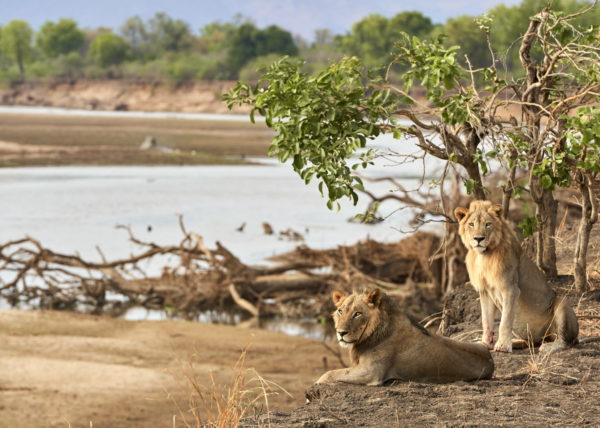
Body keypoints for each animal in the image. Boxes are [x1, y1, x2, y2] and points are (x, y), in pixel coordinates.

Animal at [314, 288, 492, 384]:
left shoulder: (371, 372)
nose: (341, 333)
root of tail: (491, 360)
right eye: (340, 311)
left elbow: (328, 374)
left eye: (357, 313)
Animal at [454, 199, 580, 352]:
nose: (478, 239)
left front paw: (502, 346)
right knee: (530, 341)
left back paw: (548, 346)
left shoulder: (510, 289)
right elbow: (486, 320)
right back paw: (515, 342)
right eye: (471, 224)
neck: (483, 256)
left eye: (488, 224)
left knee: (565, 341)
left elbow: (505, 321)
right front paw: (485, 343)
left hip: (561, 302)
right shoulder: (484, 291)